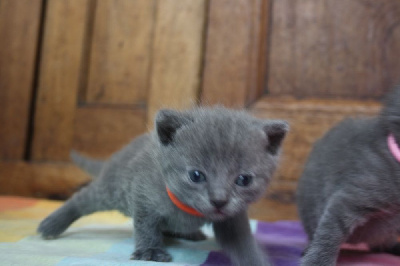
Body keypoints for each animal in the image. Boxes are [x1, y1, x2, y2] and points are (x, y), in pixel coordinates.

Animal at [36, 106, 288, 266]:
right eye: (196, 175)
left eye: (244, 179)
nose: (219, 200)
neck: (189, 211)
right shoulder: (142, 195)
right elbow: (146, 226)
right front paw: (150, 251)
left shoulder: (232, 218)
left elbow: (242, 243)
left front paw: (256, 260)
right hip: (112, 189)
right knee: (82, 199)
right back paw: (52, 224)